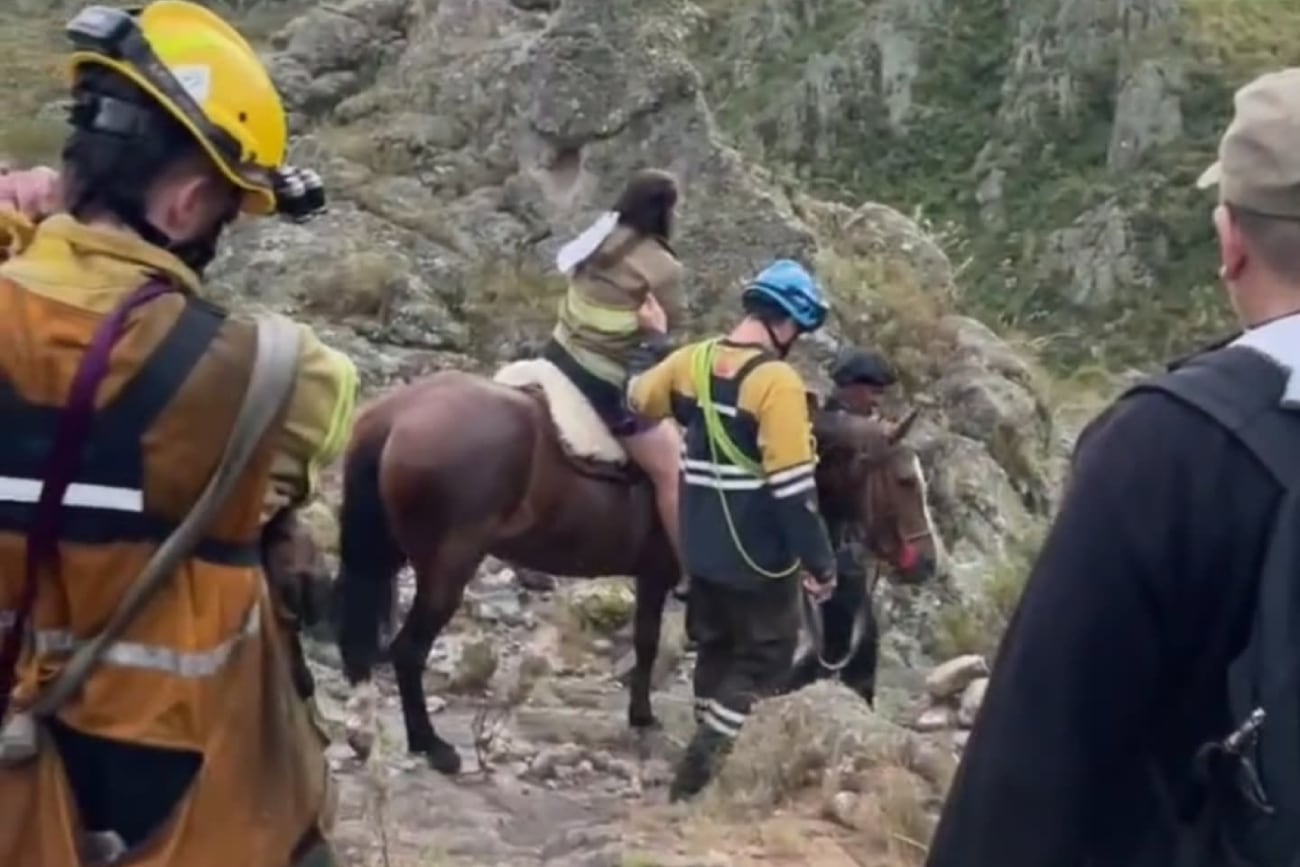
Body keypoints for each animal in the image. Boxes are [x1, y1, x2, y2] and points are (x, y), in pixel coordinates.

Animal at [330, 356, 941, 774]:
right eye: (905, 481)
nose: (927, 562)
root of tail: (395, 415)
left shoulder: (653, 577)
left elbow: (646, 643)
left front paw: (642, 713)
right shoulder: (674, 580)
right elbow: (668, 649)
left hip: (385, 554)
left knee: (361, 642)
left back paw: (363, 730)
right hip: (447, 568)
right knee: (407, 651)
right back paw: (431, 745)